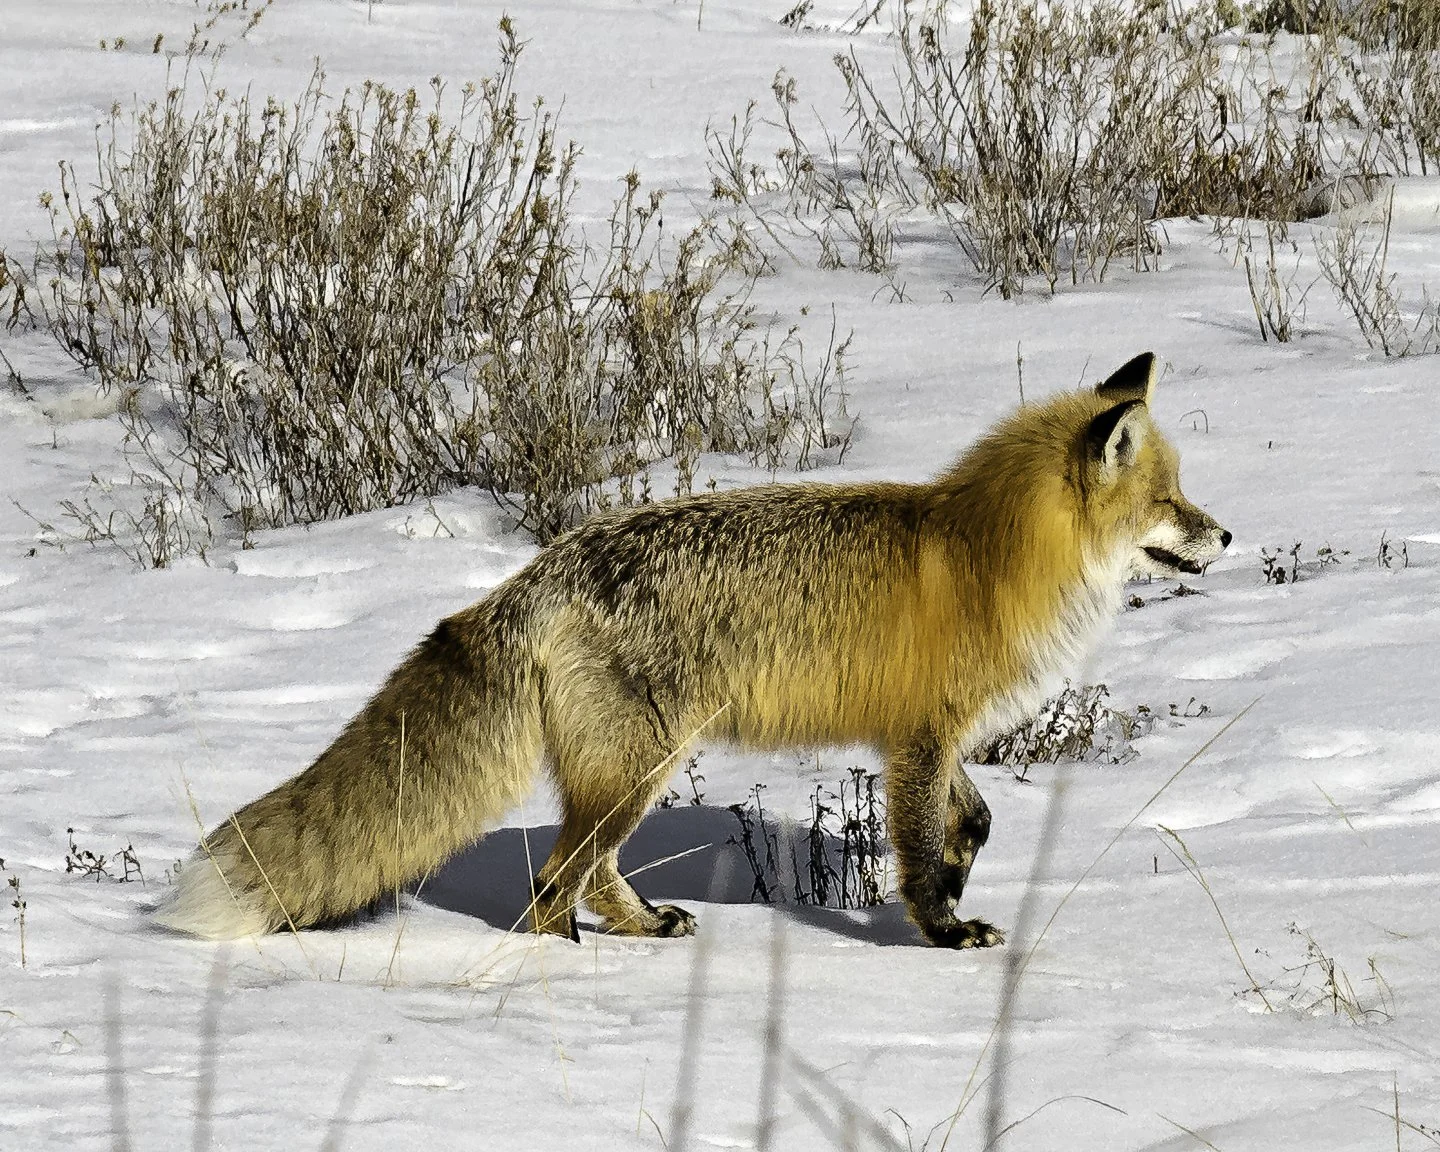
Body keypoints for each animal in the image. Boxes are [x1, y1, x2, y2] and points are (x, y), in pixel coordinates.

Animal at [155, 350, 1230, 949]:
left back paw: (638, 928)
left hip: (627, 772)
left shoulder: (931, 740)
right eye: (1170, 500)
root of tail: (536, 575)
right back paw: (582, 955)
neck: (991, 554)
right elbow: (923, 852)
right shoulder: (919, 741)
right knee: (552, 882)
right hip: (639, 767)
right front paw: (944, 930)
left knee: (574, 873)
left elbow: (976, 821)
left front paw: (966, 873)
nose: (1225, 535)